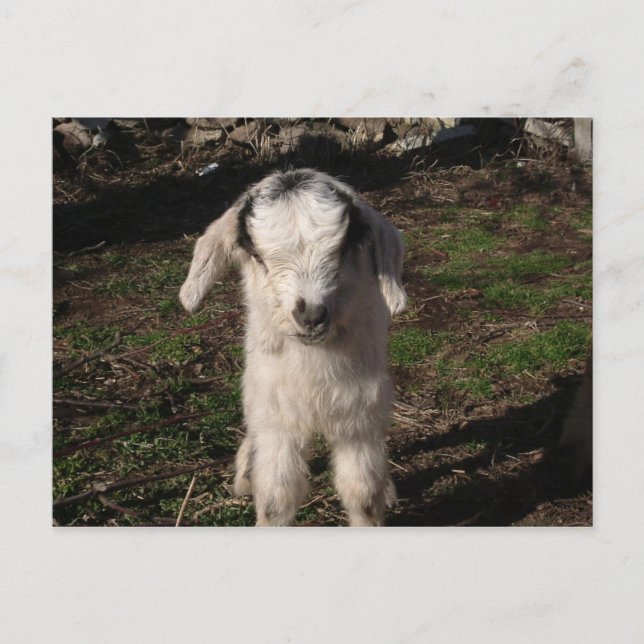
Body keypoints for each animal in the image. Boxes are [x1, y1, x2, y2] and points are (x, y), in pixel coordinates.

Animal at [179, 168, 406, 526]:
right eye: (257, 255)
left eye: (343, 248)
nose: (311, 315)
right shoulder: (277, 416)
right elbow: (276, 497)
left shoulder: (359, 417)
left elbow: (363, 494)